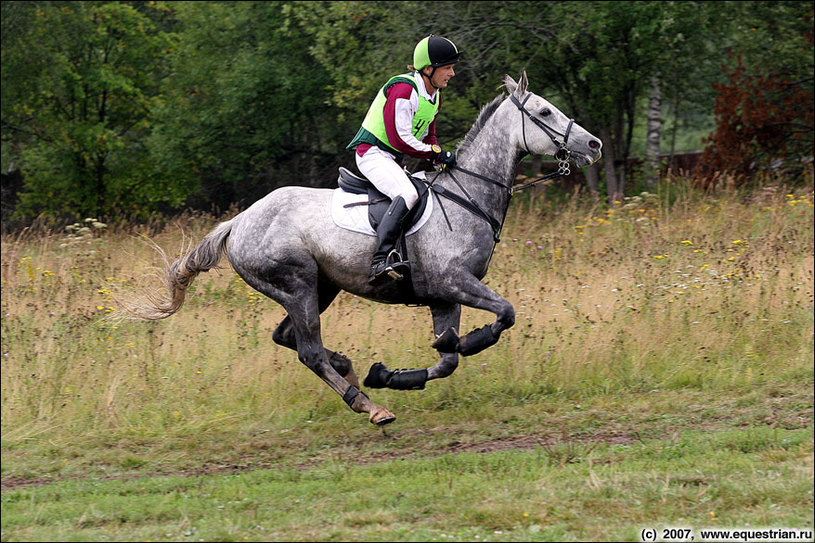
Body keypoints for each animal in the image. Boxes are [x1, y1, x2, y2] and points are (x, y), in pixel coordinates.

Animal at [124, 72, 604, 428]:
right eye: (544, 111)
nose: (594, 144)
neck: (468, 196)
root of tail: (238, 222)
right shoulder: (453, 282)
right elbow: (503, 315)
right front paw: (470, 341)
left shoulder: (443, 295)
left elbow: (447, 359)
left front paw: (390, 374)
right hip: (297, 284)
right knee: (308, 350)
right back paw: (368, 405)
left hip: (321, 288)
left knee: (291, 338)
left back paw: (350, 369)